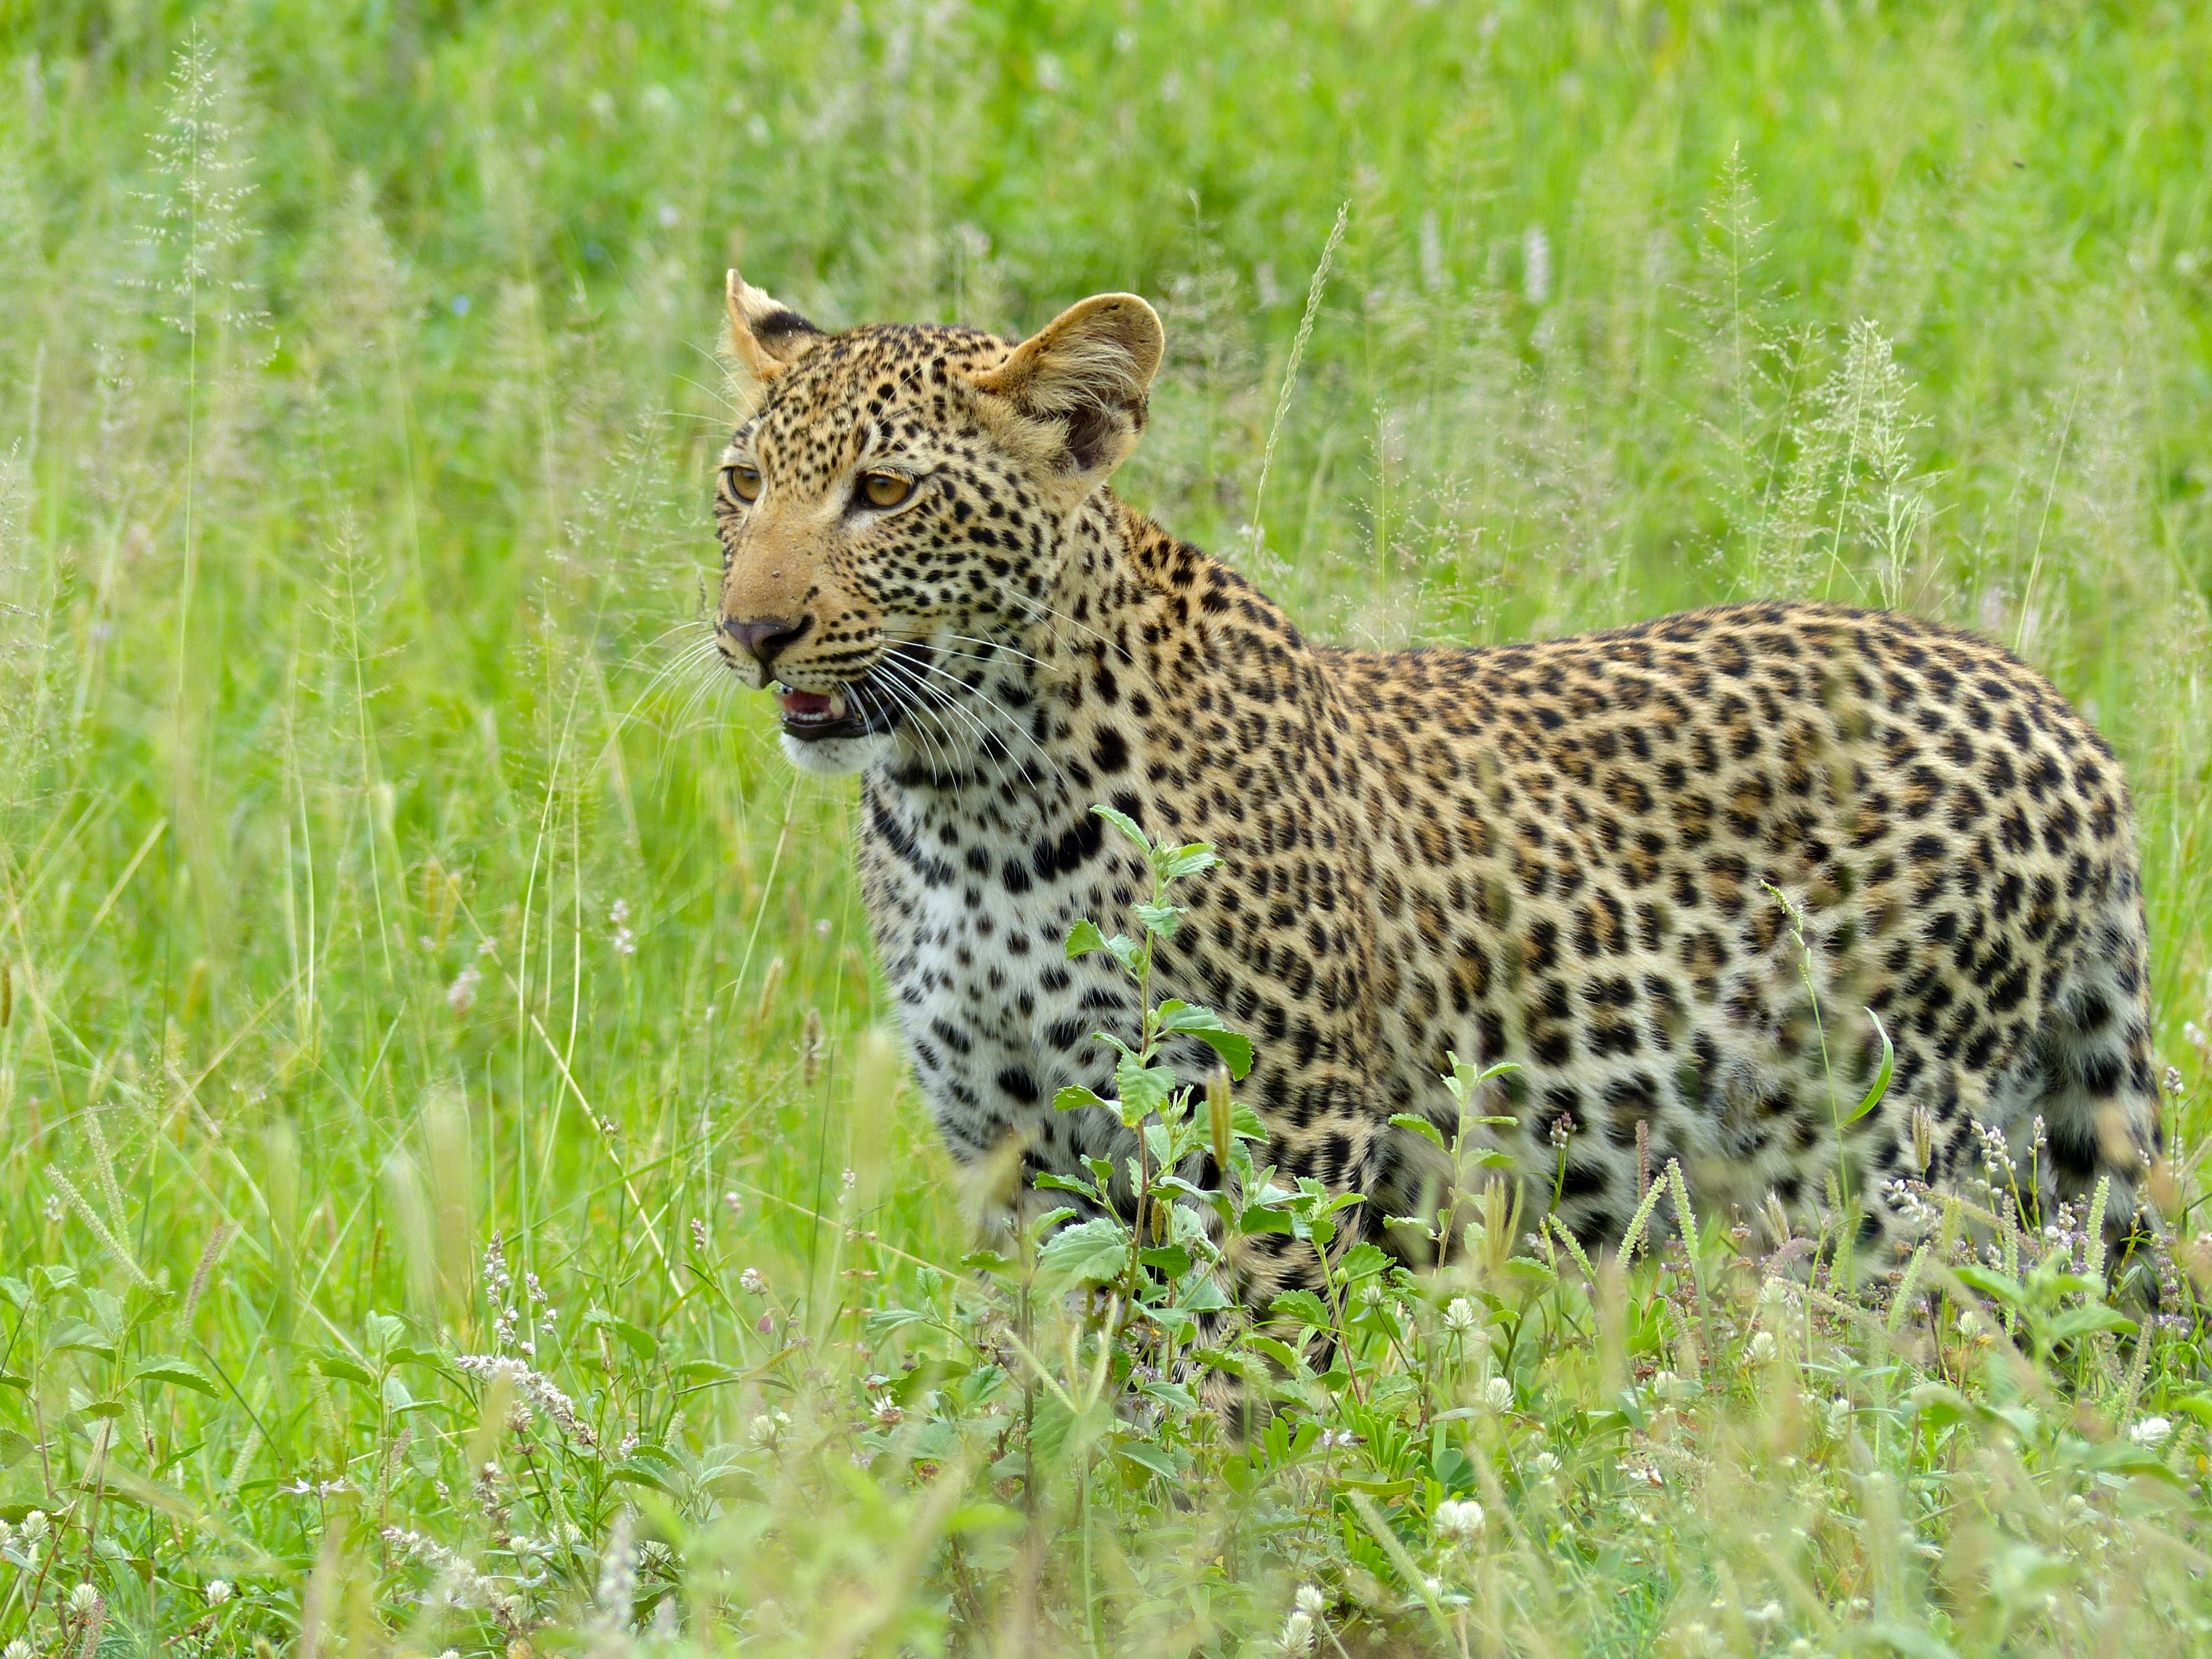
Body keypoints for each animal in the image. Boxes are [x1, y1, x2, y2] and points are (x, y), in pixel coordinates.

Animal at [712, 267, 2177, 1318]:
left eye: (883, 492)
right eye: (741, 483)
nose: (750, 631)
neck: (966, 801)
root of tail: (2059, 714)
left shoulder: (1273, 1149)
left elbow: (1232, 1396)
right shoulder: (1016, 1160)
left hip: (1883, 1163)